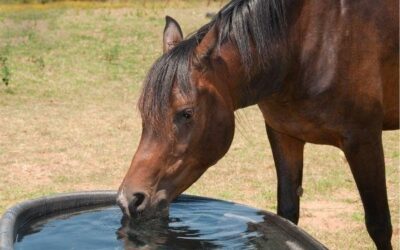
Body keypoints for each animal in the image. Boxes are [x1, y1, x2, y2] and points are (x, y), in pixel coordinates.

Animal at [117, 0, 398, 249]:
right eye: (144, 112)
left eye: (186, 113)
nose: (129, 200)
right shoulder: (284, 135)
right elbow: (286, 216)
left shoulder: (363, 140)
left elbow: (379, 225)